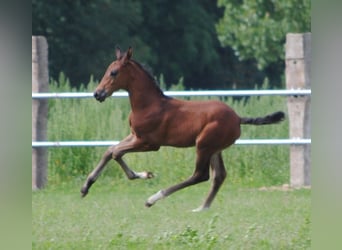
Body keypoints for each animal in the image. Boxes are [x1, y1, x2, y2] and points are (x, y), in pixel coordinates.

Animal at [80, 46, 284, 211]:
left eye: (114, 72)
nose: (97, 93)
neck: (149, 105)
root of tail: (238, 118)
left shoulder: (148, 143)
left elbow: (116, 153)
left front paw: (143, 175)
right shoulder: (134, 136)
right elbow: (110, 150)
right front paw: (85, 187)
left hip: (203, 145)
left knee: (200, 175)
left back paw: (153, 199)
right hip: (215, 149)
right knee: (219, 175)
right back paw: (202, 208)